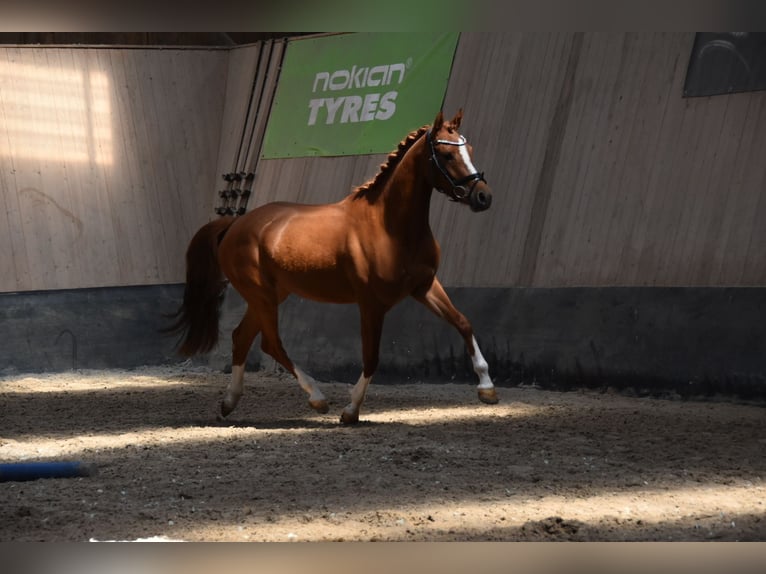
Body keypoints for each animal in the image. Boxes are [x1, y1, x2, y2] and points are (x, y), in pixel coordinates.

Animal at [169, 109, 500, 424]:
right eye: (446, 154)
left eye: (469, 149)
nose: (483, 196)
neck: (390, 226)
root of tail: (235, 224)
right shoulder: (371, 304)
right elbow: (371, 357)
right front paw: (350, 411)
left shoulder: (425, 286)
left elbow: (463, 323)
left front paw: (487, 389)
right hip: (261, 295)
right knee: (270, 343)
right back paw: (317, 398)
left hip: (271, 295)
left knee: (242, 338)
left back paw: (229, 404)